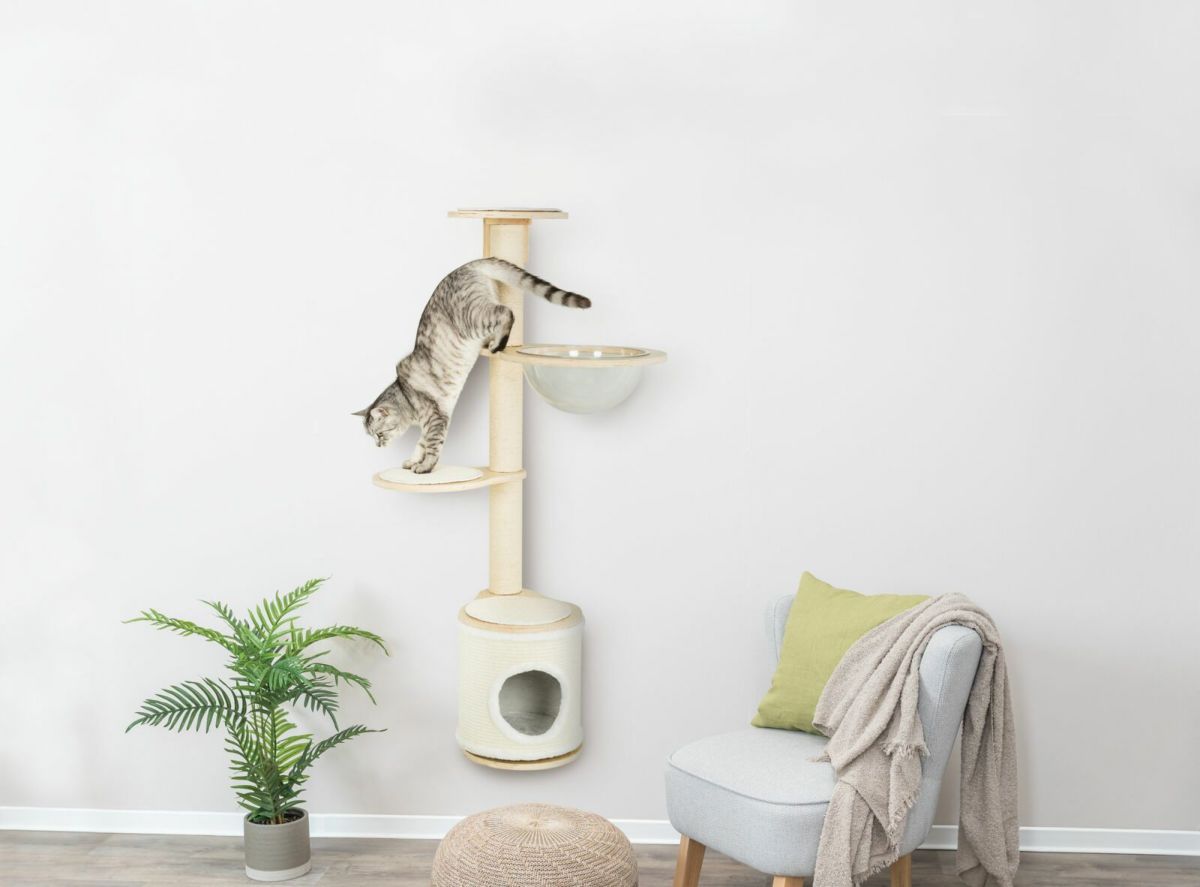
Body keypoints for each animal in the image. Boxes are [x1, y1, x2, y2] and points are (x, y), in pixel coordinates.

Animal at [355, 258, 590, 473]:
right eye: (373, 437)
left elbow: (431, 446)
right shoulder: (432, 421)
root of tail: (466, 265)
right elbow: (419, 445)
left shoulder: (435, 419)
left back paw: (498, 344)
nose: (377, 445)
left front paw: (424, 467)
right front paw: (412, 462)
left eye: (379, 434)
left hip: (474, 317)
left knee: (506, 312)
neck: (404, 395)